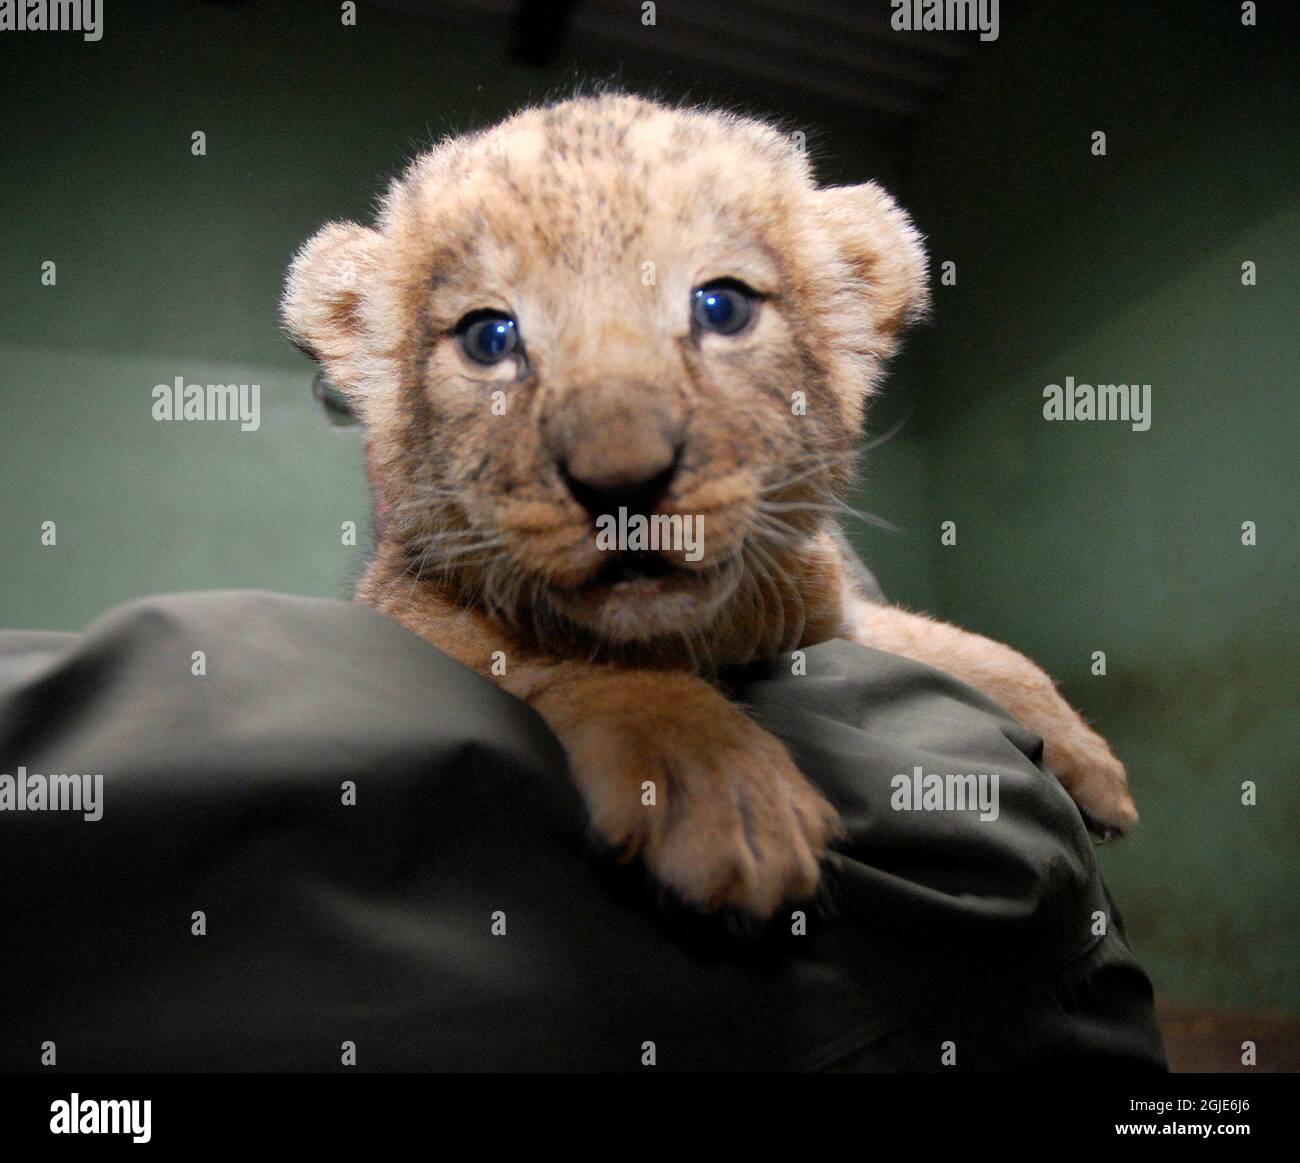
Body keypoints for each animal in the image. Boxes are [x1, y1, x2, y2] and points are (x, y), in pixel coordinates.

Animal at [281, 93, 1136, 919]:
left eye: (721, 306)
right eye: (488, 337)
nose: (621, 481)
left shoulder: (835, 609)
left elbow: (965, 645)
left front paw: (1092, 762)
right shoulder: (403, 608)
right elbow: (557, 652)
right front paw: (721, 787)